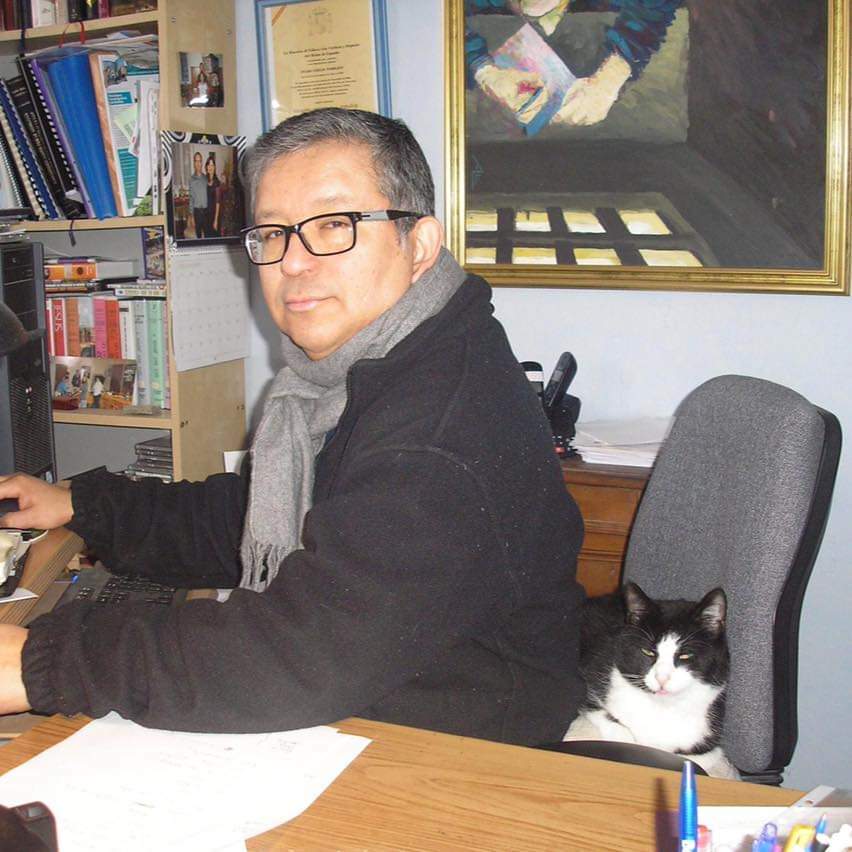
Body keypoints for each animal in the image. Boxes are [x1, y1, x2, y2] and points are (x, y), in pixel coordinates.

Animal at [563, 581, 739, 779]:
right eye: (648, 652)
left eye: (685, 655)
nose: (662, 678)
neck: (661, 707)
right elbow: (607, 719)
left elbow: (702, 757)